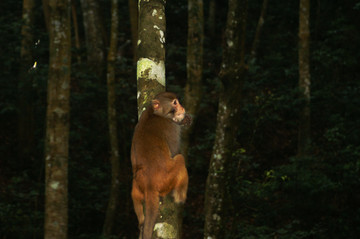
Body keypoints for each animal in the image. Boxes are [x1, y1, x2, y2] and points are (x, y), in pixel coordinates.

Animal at [130, 91, 191, 239]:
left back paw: (141, 221)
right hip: (167, 178)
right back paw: (180, 197)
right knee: (180, 159)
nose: (182, 108)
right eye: (175, 103)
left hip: (138, 185)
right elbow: (175, 150)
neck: (155, 113)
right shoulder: (170, 126)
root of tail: (150, 185)